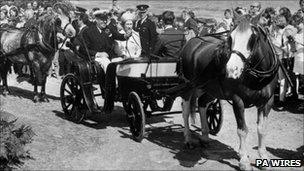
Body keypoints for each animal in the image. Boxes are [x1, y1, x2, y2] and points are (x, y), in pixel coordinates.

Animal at [177, 15, 280, 171]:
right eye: (230, 38)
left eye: (252, 38)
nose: (232, 69)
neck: (257, 77)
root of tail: (192, 41)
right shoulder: (238, 100)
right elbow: (242, 130)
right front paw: (243, 160)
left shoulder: (267, 101)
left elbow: (262, 129)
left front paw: (263, 157)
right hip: (188, 86)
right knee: (186, 110)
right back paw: (188, 139)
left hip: (211, 89)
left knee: (202, 104)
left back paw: (205, 137)